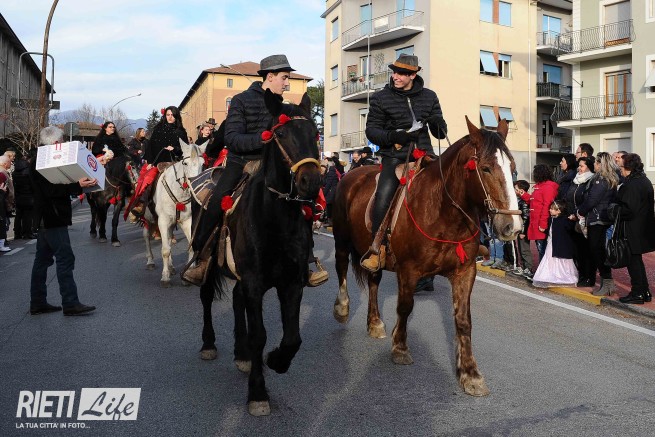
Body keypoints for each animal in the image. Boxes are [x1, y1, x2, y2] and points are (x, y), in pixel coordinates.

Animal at [142, 140, 206, 287]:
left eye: (203, 163)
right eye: (185, 163)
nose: (196, 185)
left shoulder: (187, 221)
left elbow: (190, 246)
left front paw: (186, 275)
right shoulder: (163, 221)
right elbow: (165, 250)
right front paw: (165, 277)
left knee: (169, 239)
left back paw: (171, 267)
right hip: (149, 219)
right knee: (146, 236)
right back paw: (150, 261)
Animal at [198, 90, 322, 416]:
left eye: (315, 133)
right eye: (280, 133)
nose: (311, 182)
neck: (275, 219)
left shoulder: (291, 283)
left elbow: (292, 338)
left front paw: (276, 360)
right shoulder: (254, 282)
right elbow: (260, 335)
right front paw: (257, 392)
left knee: (236, 298)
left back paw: (241, 354)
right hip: (208, 264)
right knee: (206, 296)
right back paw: (208, 344)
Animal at [332, 117, 522, 397]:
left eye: (513, 168)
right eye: (486, 168)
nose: (512, 227)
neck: (443, 212)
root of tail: (352, 174)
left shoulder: (465, 272)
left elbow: (463, 320)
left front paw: (470, 374)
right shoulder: (409, 270)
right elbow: (405, 306)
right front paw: (400, 348)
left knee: (374, 282)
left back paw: (375, 322)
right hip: (342, 240)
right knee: (341, 268)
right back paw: (342, 308)